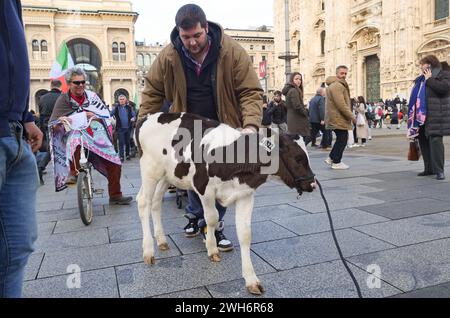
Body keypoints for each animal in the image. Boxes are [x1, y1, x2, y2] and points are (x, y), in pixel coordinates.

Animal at [135, 113, 314, 294]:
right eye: (298, 158)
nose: (312, 184)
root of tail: (147, 117)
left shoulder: (245, 194)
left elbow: (245, 234)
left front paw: (251, 279)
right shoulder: (204, 188)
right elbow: (212, 218)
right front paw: (212, 248)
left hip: (166, 176)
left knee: (155, 202)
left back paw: (161, 241)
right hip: (150, 170)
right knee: (143, 201)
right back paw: (148, 251)